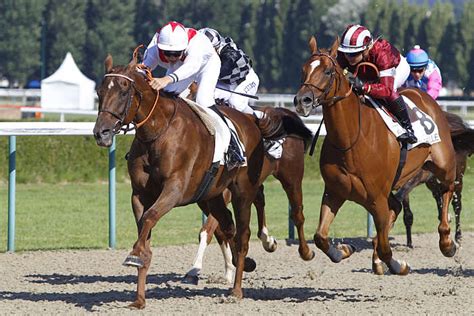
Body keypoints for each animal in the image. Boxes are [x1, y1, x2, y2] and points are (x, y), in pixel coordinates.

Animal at [182, 132, 314, 286]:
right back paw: (266, 241)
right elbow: (221, 232)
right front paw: (231, 270)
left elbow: (208, 231)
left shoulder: (223, 197)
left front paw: (194, 270)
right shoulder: (206, 202)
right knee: (259, 198)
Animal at [294, 36, 458, 274]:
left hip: (443, 164)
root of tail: (425, 98)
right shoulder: (334, 191)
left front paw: (399, 265)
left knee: (447, 190)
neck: (351, 139)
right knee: (396, 207)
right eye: (303, 69)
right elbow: (320, 237)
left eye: (327, 71)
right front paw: (343, 250)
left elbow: (385, 247)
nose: (302, 101)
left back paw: (447, 242)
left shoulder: (377, 197)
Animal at [396, 111, 474, 247]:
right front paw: (409, 243)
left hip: (458, 177)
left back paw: (458, 236)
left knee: (457, 204)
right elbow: (407, 213)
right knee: (439, 199)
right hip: (434, 183)